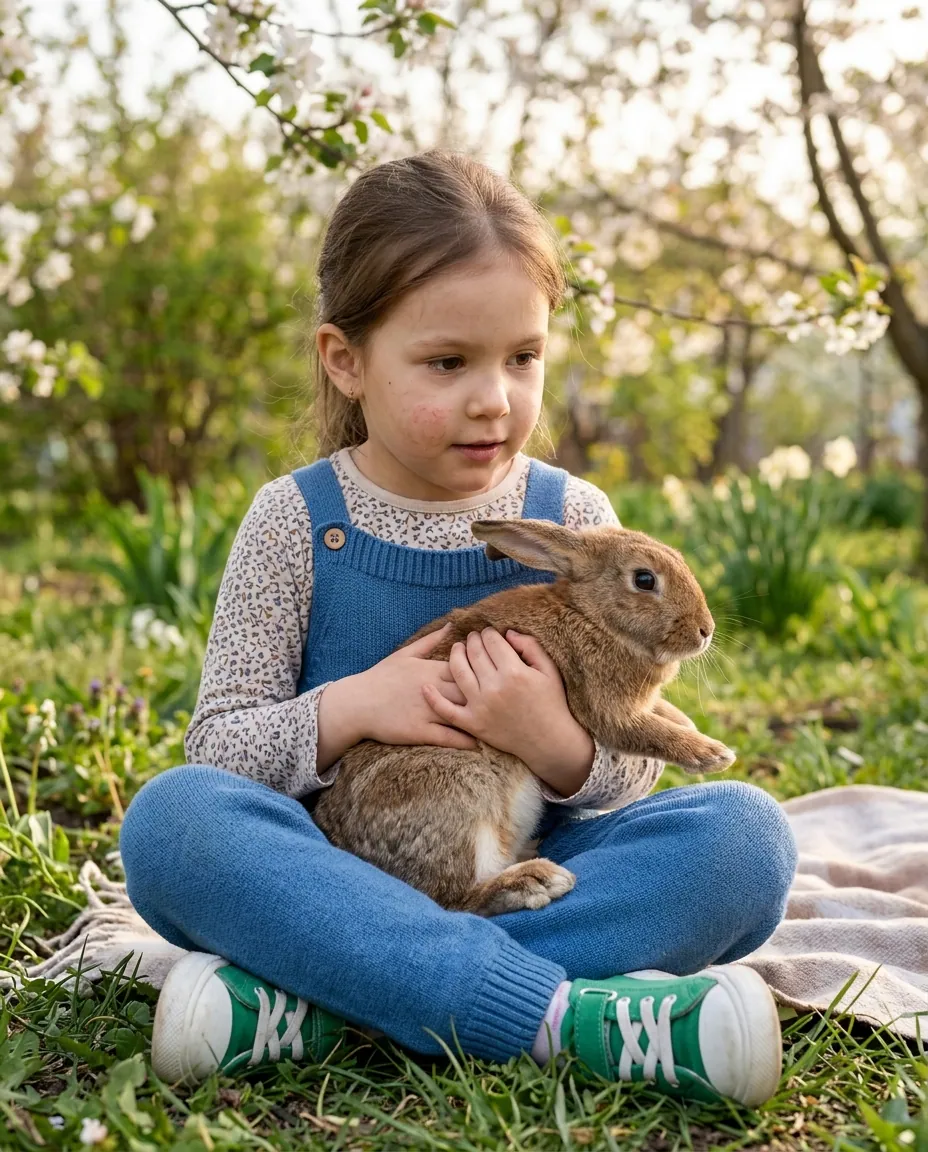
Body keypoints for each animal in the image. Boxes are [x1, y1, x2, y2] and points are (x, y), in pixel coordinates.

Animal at [312, 519, 736, 916]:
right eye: (644, 579)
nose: (705, 631)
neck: (589, 616)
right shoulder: (608, 709)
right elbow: (649, 732)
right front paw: (713, 754)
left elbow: (663, 713)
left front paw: (690, 724)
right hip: (462, 789)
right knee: (452, 901)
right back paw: (536, 879)